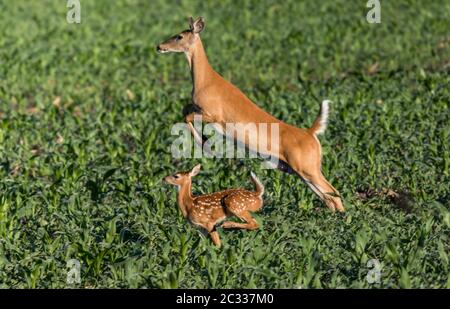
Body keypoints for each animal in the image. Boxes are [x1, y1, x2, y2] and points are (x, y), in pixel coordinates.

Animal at [156, 16, 342, 212]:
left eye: (179, 36)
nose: (159, 46)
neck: (205, 80)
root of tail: (311, 133)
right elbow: (184, 110)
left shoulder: (213, 114)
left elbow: (186, 116)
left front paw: (206, 146)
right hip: (298, 170)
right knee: (327, 196)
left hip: (307, 168)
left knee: (334, 193)